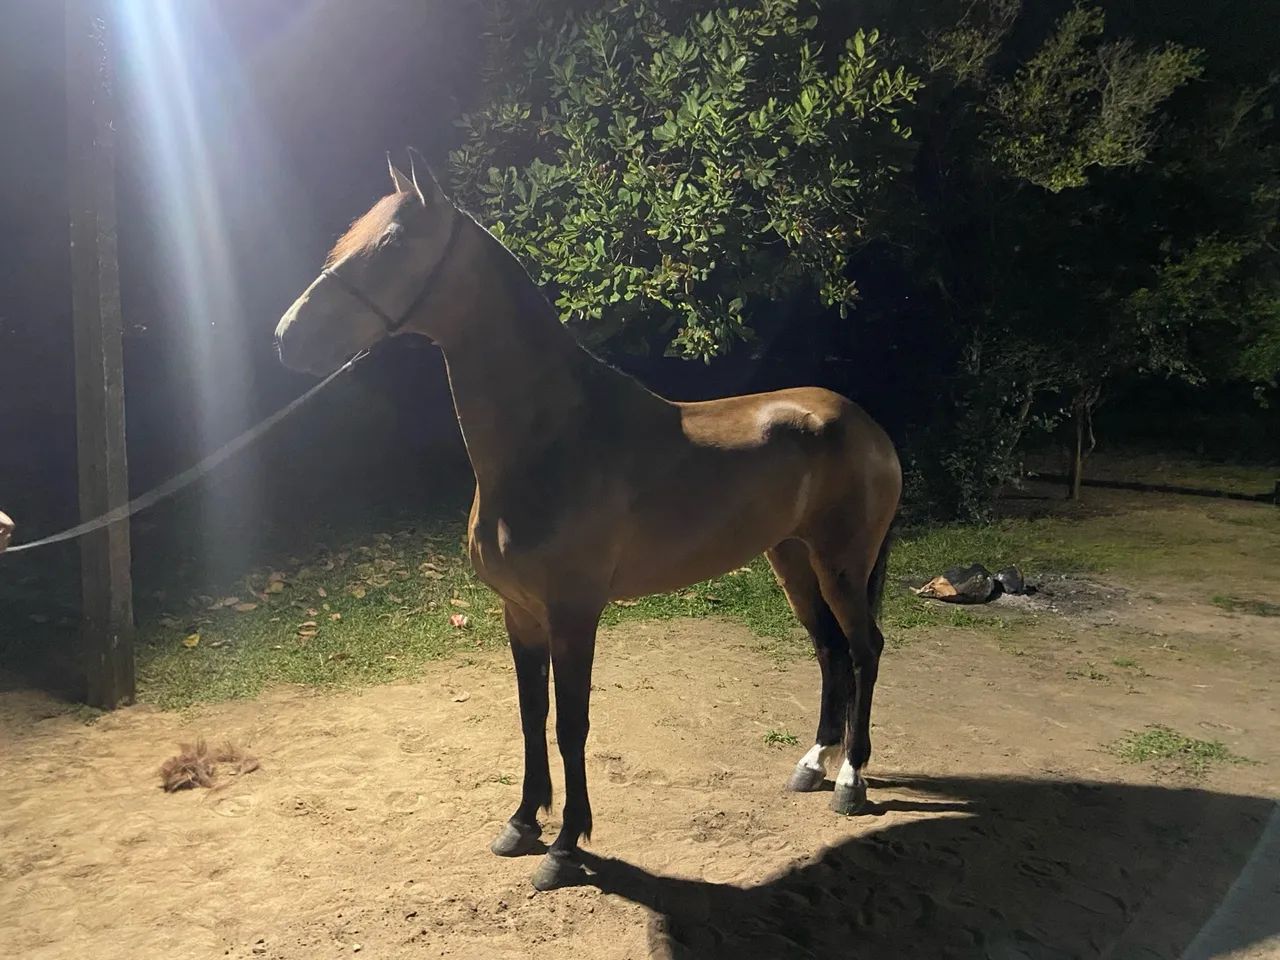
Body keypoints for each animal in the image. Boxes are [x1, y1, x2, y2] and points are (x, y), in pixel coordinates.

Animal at [274, 157, 902, 891]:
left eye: (394, 242)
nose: (287, 337)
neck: (551, 442)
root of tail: (864, 423)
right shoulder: (521, 612)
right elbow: (531, 716)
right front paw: (522, 823)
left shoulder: (574, 612)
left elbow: (571, 724)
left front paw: (566, 844)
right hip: (792, 560)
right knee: (829, 651)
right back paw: (811, 765)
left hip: (841, 564)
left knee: (864, 649)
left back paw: (851, 780)